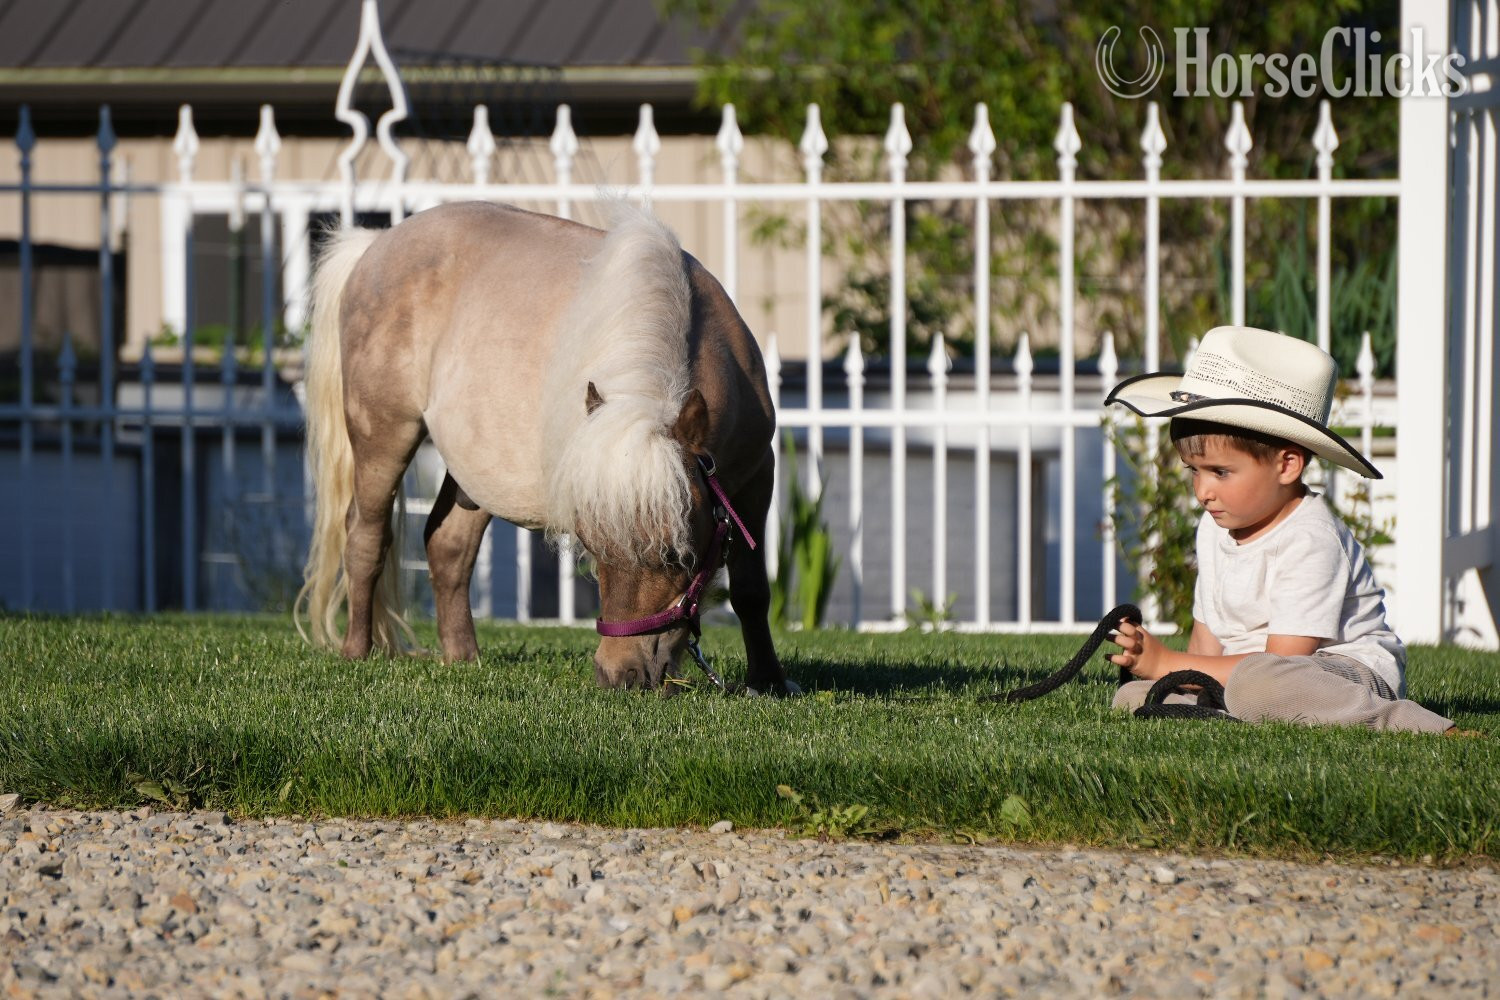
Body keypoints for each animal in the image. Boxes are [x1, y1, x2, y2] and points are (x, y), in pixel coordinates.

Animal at [295, 200, 795, 693]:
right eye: (594, 549)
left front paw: (769, 680)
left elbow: (752, 590)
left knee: (448, 546)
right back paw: (357, 651)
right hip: (383, 438)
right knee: (365, 537)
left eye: (679, 555)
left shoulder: (756, 477)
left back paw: (463, 657)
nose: (620, 675)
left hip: (473, 477)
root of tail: (374, 245)